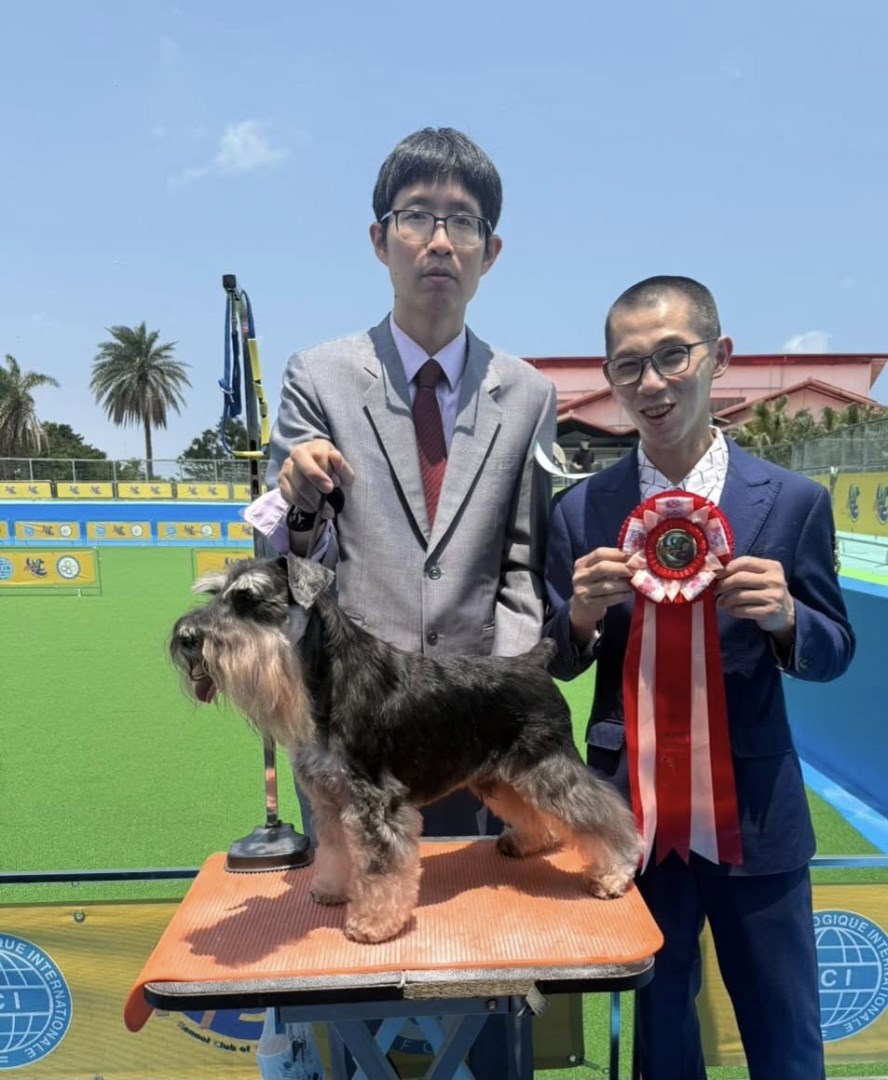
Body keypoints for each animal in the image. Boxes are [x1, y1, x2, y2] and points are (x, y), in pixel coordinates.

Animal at [170, 554, 642, 943]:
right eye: (214, 594)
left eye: (250, 599)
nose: (186, 637)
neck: (328, 680)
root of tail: (533, 661)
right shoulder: (331, 800)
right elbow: (338, 851)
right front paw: (331, 890)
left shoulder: (376, 803)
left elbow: (379, 871)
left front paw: (372, 924)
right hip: (501, 776)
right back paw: (528, 842)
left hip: (549, 767)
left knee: (603, 812)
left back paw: (615, 871)